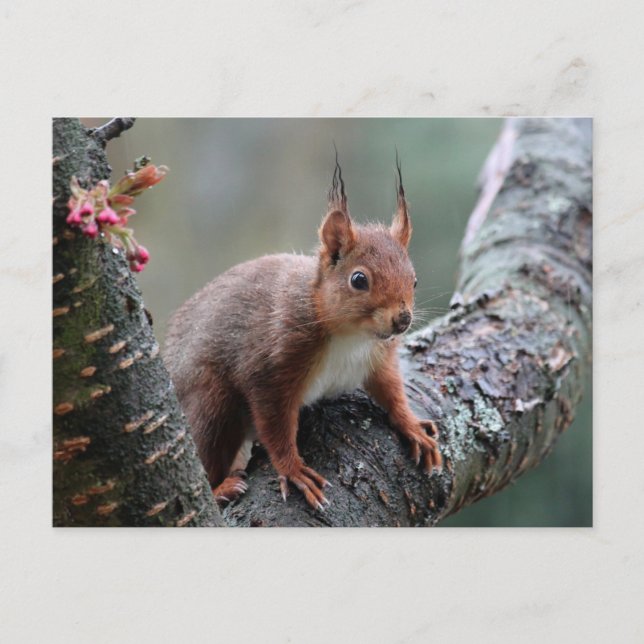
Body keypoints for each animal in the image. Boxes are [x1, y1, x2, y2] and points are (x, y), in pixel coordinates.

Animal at [164, 158, 442, 511]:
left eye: (414, 280)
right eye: (359, 280)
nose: (402, 320)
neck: (352, 337)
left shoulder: (379, 359)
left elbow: (391, 390)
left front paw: (411, 425)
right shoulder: (272, 364)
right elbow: (275, 425)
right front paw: (293, 470)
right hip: (209, 401)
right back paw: (220, 489)